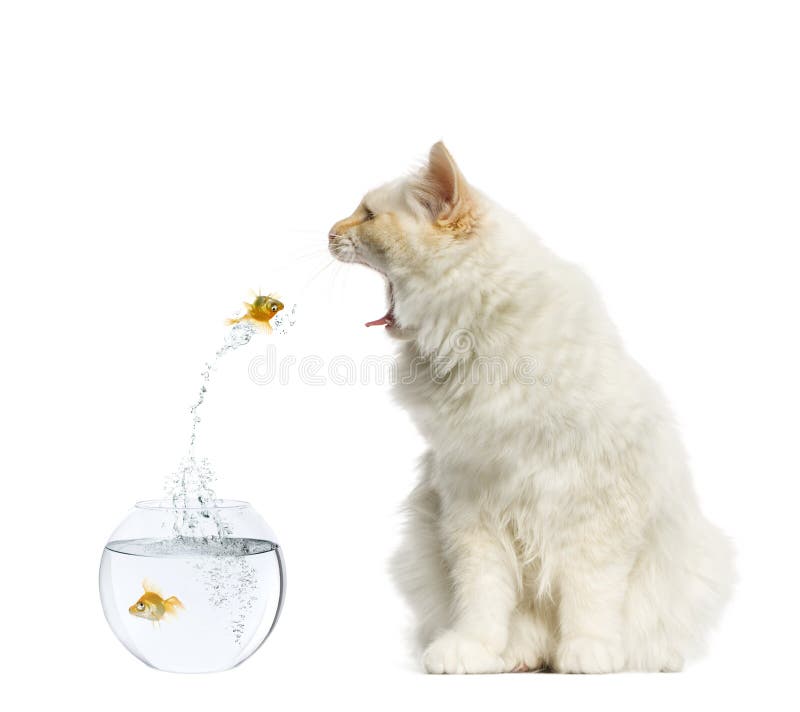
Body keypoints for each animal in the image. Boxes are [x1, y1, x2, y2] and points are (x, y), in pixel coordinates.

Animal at [328, 140, 736, 672]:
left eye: (368, 216)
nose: (330, 233)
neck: (477, 341)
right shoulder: (471, 505)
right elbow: (481, 597)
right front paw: (472, 650)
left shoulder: (599, 510)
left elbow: (591, 594)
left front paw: (589, 652)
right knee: (521, 631)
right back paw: (517, 658)